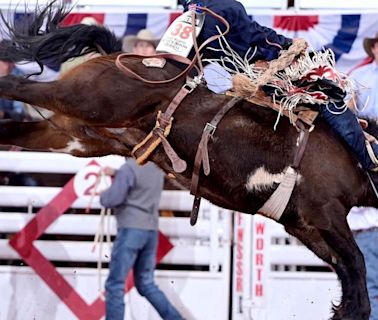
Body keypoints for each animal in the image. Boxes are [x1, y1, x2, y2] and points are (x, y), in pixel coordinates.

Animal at [0, 2, 376, 320]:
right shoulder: (324, 210)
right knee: (14, 82)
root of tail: (123, 55)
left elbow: (345, 266)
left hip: (75, 136)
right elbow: (356, 261)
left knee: (13, 128)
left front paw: (345, 307)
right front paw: (354, 310)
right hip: (88, 100)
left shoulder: (304, 225)